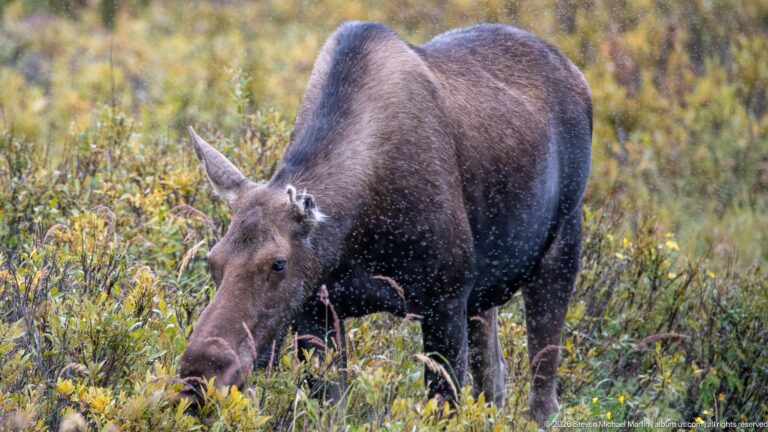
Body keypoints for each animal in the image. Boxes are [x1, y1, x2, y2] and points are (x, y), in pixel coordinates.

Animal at [179, 21, 592, 425]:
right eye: (212, 261)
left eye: (279, 263)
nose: (199, 376)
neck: (356, 236)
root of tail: (577, 74)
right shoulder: (316, 312)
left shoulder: (445, 298)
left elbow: (443, 405)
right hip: (483, 291)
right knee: (494, 378)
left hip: (562, 244)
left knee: (543, 394)